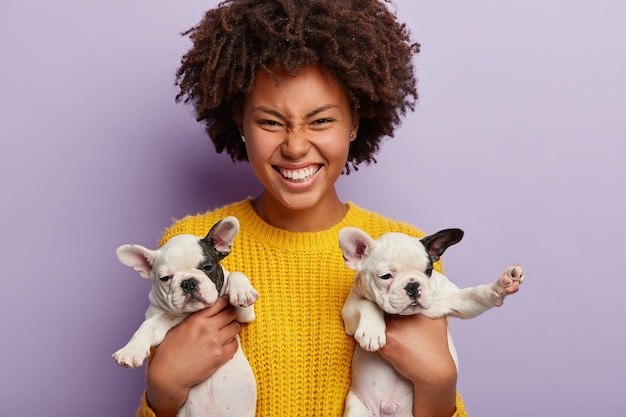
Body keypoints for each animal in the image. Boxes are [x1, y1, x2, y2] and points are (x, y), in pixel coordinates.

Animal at [113, 216, 258, 416]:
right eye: (165, 278)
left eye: (207, 267)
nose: (188, 282)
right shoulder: (159, 318)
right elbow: (147, 327)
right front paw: (131, 350)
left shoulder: (244, 314)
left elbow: (235, 274)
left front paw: (242, 290)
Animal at [336, 228, 520, 416]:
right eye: (385, 276)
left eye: (428, 271)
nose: (412, 285)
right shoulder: (350, 306)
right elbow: (368, 304)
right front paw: (372, 332)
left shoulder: (454, 300)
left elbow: (475, 294)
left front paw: (500, 286)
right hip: (357, 408)